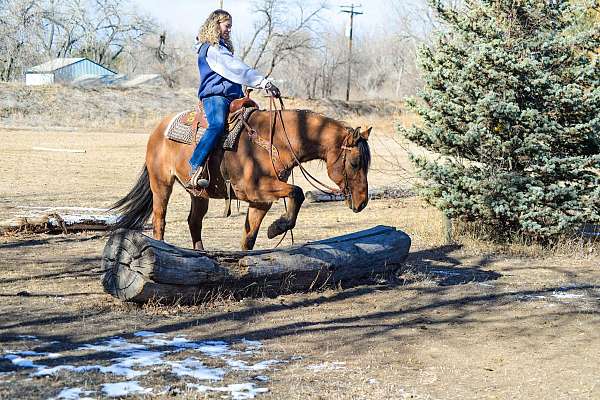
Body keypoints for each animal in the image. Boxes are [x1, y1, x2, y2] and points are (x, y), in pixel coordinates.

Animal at [109, 95, 368, 250]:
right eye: (356, 163)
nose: (363, 202)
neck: (276, 140)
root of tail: (158, 129)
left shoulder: (261, 201)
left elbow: (249, 238)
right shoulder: (252, 189)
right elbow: (298, 191)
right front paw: (276, 228)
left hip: (198, 193)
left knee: (194, 221)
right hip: (161, 183)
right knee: (159, 220)